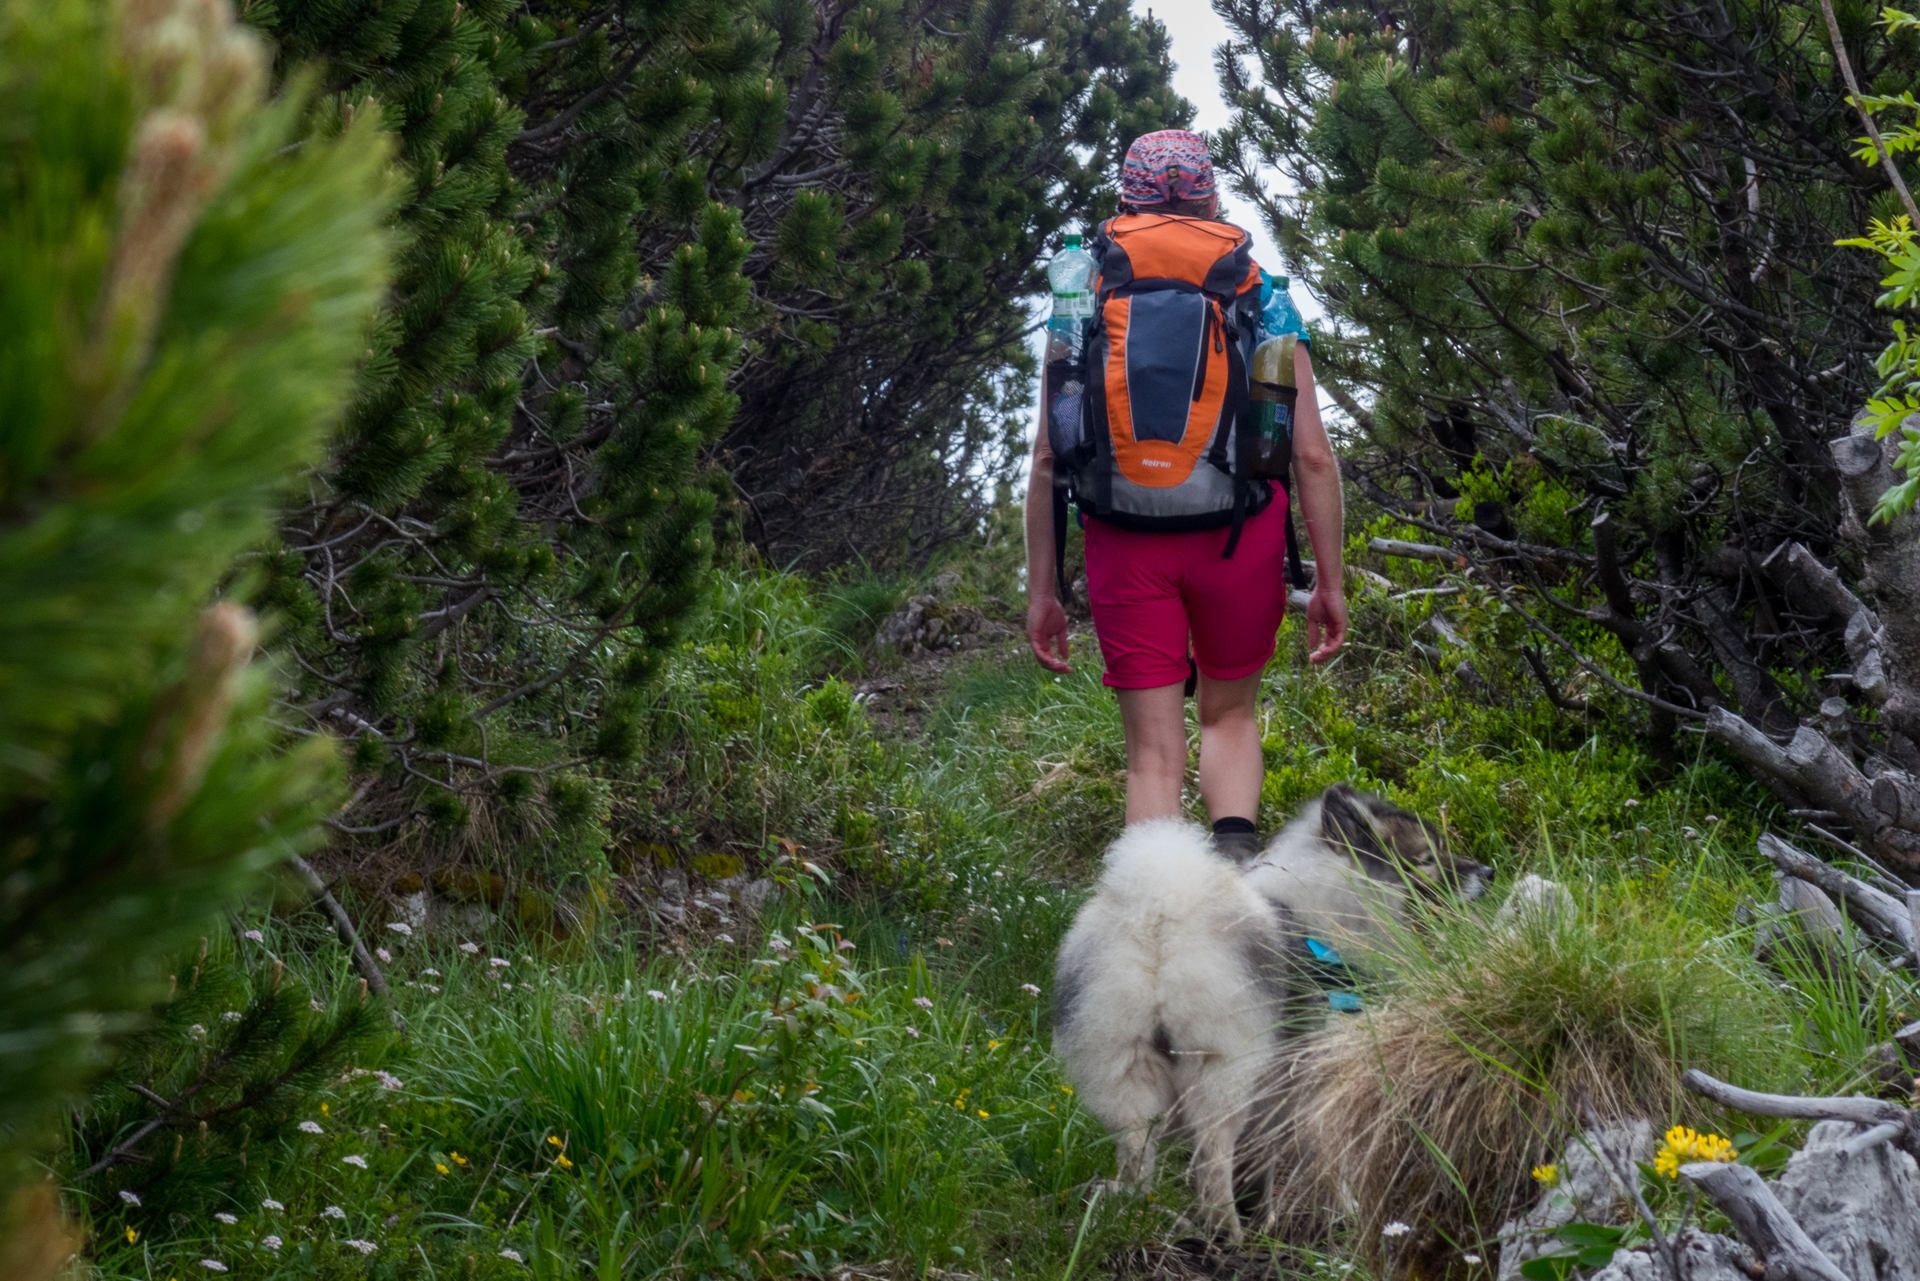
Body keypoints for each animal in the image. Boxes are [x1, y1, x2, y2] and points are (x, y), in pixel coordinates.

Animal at [1052, 787, 1482, 1236]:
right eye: (1428, 858)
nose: (1487, 872)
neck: (1327, 912)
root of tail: (1160, 920)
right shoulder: (1312, 1079)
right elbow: (1326, 1158)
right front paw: (1340, 1214)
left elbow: (1261, 1159)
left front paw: (1265, 1216)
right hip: (1224, 1068)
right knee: (1213, 1156)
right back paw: (1225, 1232)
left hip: (1130, 1071)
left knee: (1137, 1157)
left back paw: (1140, 1216)